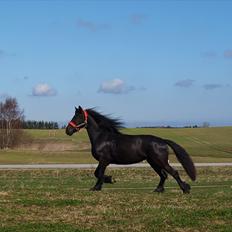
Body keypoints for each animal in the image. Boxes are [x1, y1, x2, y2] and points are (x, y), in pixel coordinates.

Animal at [65, 106, 196, 193]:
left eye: (78, 116)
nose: (68, 131)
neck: (101, 137)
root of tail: (162, 141)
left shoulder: (104, 160)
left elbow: (98, 173)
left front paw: (108, 181)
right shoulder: (104, 162)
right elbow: (99, 173)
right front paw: (100, 185)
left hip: (160, 161)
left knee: (173, 172)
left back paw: (185, 188)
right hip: (153, 162)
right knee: (163, 175)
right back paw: (158, 189)